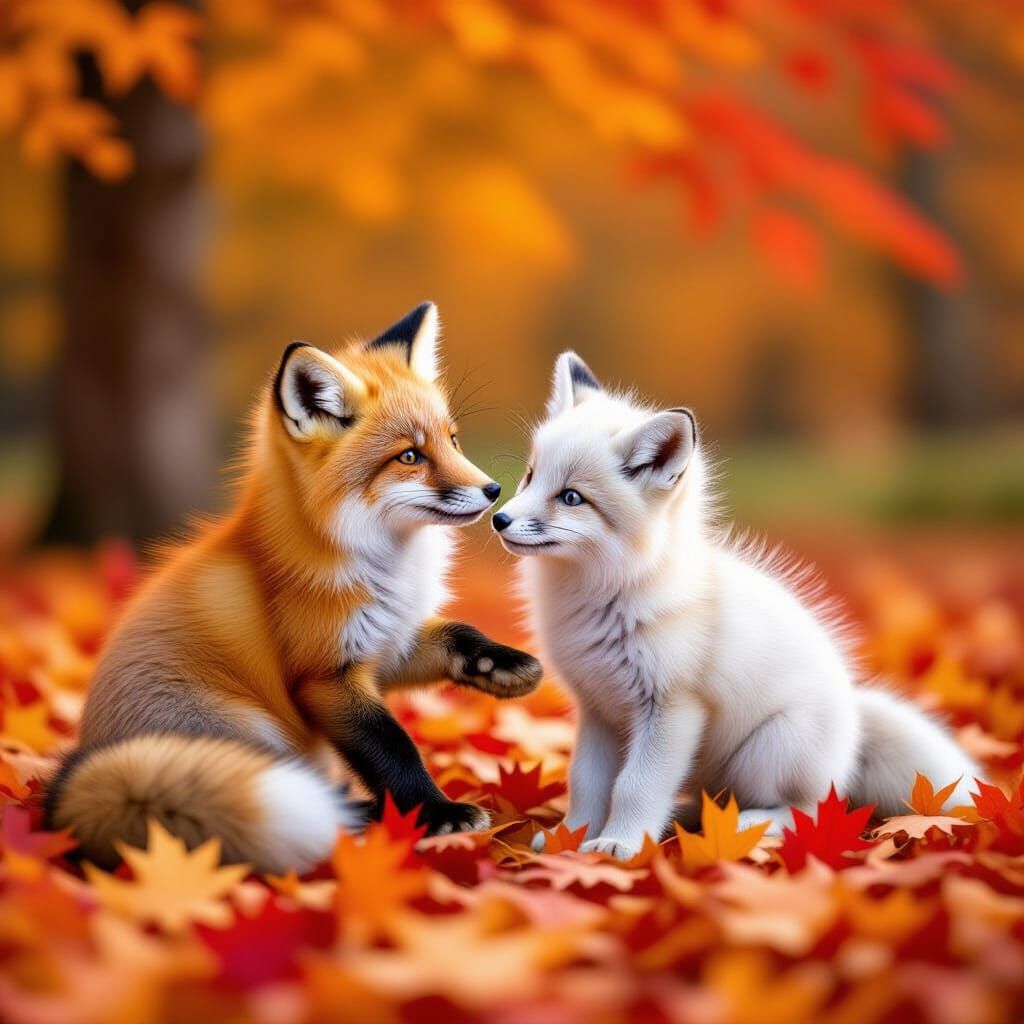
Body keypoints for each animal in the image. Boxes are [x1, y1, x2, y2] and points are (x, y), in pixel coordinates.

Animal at [45, 302, 542, 874]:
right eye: (409, 457)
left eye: (452, 440)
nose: (494, 491)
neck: (386, 566)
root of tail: (78, 774)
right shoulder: (325, 675)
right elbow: (392, 747)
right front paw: (437, 814)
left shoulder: (387, 642)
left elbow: (458, 633)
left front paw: (503, 665)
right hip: (250, 729)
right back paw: (358, 818)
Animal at [493, 350, 979, 861]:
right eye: (530, 476)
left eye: (571, 497)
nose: (499, 518)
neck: (605, 597)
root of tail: (853, 720)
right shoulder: (599, 710)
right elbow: (586, 783)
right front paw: (570, 838)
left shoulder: (671, 709)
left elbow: (635, 786)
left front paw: (618, 844)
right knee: (716, 799)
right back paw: (689, 818)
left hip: (769, 752)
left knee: (812, 809)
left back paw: (748, 824)